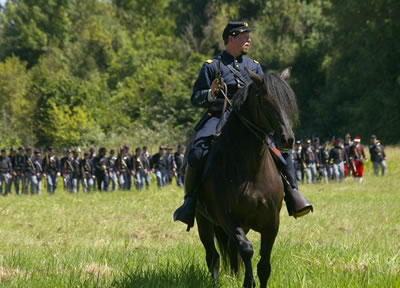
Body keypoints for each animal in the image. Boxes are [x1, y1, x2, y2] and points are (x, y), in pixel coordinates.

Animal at [192, 68, 298, 288]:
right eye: (265, 100)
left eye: (288, 100)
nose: (287, 139)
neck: (252, 170)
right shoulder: (228, 218)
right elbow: (247, 250)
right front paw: (248, 281)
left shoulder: (271, 222)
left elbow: (264, 264)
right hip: (203, 220)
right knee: (213, 256)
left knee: (231, 251)